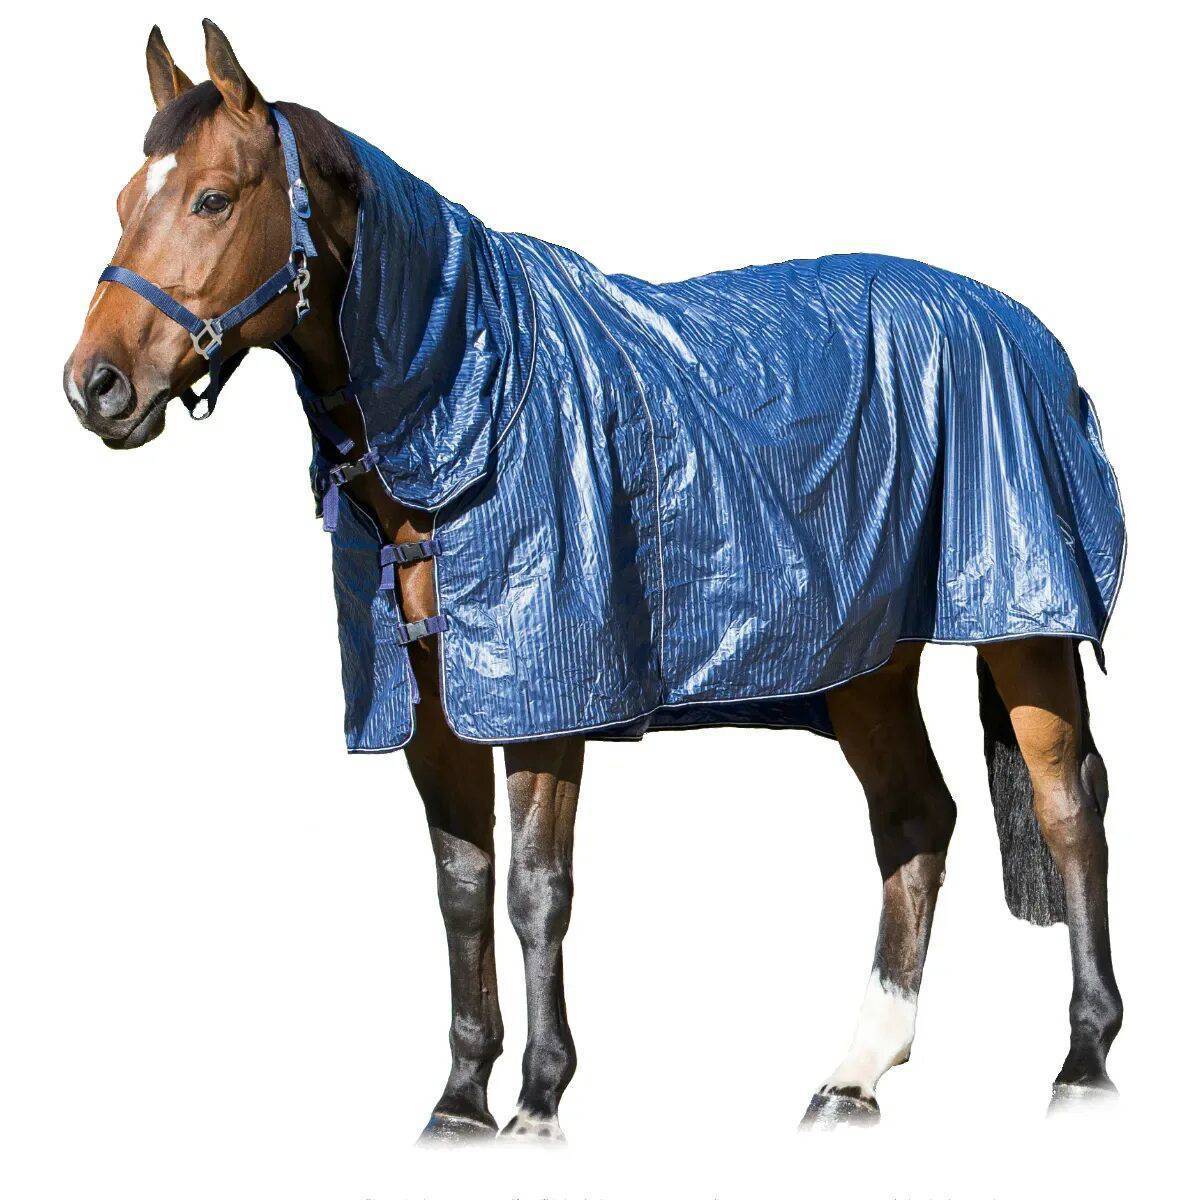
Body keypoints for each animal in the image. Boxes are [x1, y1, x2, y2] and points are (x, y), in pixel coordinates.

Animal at [64, 20, 1124, 1140]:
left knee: (1068, 810)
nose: (96, 385)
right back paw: (855, 1073)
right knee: (916, 818)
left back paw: (1085, 1060)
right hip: (867, 658)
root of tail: (1025, 329)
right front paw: (459, 1101)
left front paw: (538, 1101)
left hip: (1026, 626)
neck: (470, 389)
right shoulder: (438, 700)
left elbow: (536, 889)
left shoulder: (550, 692)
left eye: (214, 198)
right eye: (125, 201)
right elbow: (462, 885)